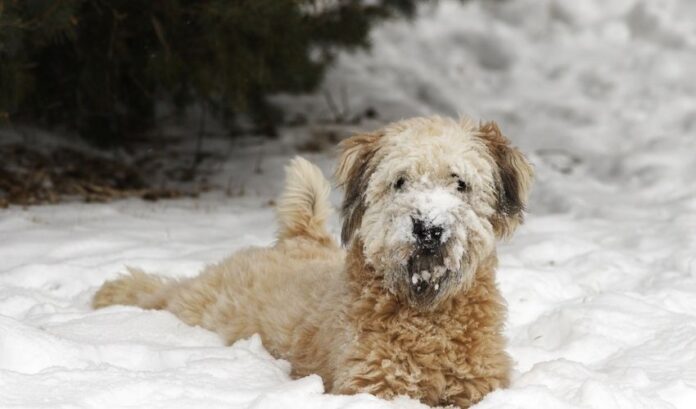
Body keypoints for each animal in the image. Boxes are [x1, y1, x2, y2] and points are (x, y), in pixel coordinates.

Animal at [92, 115, 532, 408]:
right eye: (400, 181)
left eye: (460, 183)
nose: (428, 228)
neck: (428, 316)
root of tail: (299, 237)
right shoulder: (369, 385)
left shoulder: (483, 382)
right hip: (199, 304)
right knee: (160, 292)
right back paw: (112, 293)